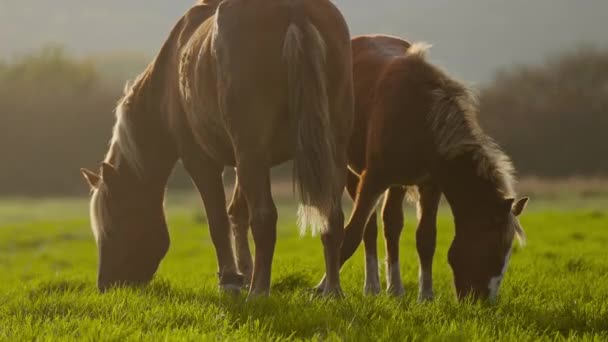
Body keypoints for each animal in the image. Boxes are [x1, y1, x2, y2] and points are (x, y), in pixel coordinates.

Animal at [78, 0, 354, 298]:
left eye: (115, 223)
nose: (106, 284)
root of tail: (293, 8)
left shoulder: (202, 161)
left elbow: (218, 220)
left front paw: (230, 280)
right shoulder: (248, 160)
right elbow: (237, 213)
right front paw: (243, 272)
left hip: (251, 150)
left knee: (265, 218)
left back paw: (259, 291)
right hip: (328, 148)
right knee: (333, 217)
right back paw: (331, 290)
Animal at [230, 34, 528, 300]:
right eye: (494, 250)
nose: (484, 300)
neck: (419, 116)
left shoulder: (429, 185)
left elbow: (425, 239)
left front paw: (426, 295)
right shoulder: (373, 178)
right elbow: (350, 235)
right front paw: (324, 289)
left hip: (397, 182)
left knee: (390, 225)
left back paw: (393, 288)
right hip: (354, 174)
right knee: (370, 228)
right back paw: (372, 286)